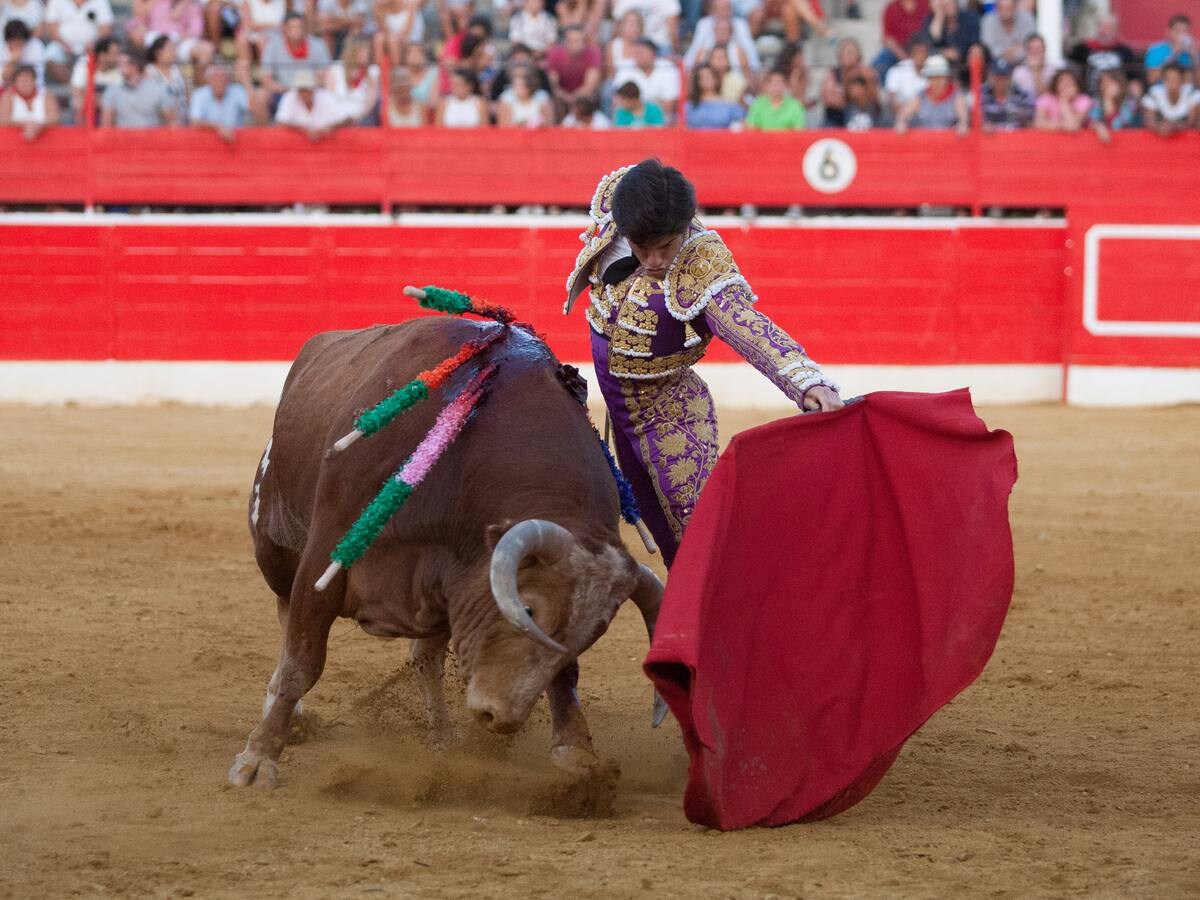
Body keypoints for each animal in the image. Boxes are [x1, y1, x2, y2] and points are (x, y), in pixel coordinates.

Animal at [228, 316, 662, 787]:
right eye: (526, 610)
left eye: (590, 638)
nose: (501, 718)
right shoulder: (324, 557)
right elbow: (302, 662)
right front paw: (258, 758)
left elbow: (558, 675)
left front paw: (577, 751)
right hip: (277, 551)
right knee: (286, 614)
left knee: (424, 660)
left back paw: (441, 736)